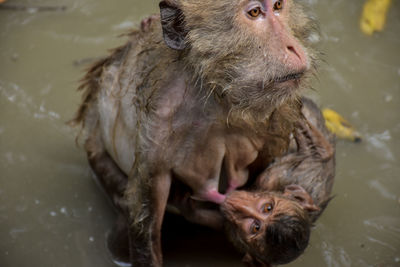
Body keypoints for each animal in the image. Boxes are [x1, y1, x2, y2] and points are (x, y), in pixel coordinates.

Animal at [72, 0, 318, 266]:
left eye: (278, 5)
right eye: (254, 12)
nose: (292, 47)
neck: (220, 97)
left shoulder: (281, 110)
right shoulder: (161, 117)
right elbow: (146, 211)